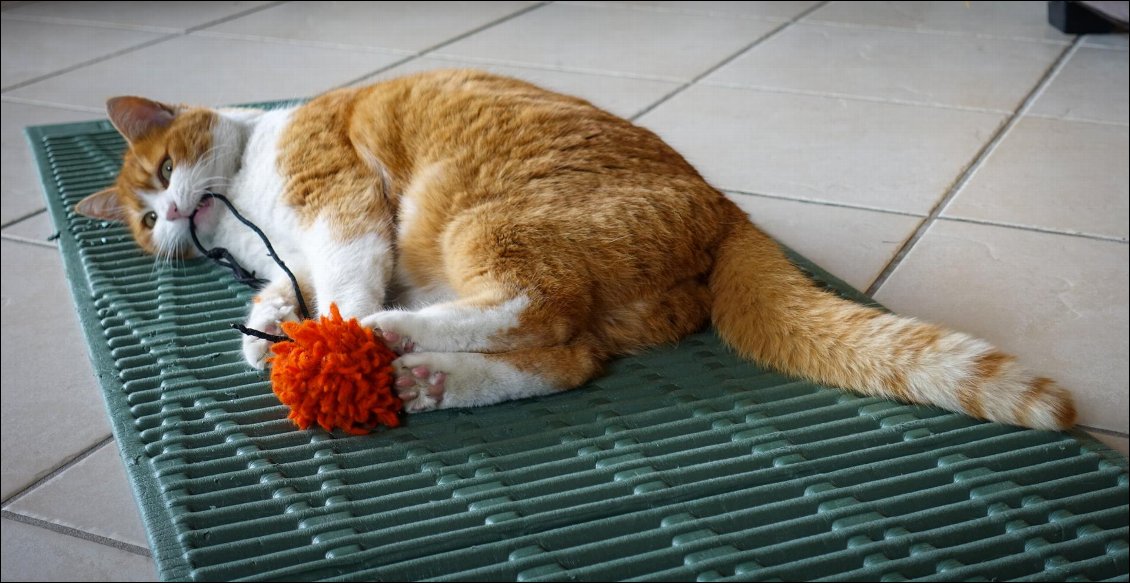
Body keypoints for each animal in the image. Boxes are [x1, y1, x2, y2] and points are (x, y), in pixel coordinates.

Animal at [79, 70, 1075, 429]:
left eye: (161, 170)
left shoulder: (341, 206)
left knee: (536, 310)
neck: (248, 197)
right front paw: (265, 328)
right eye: (143, 221)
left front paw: (332, 341)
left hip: (487, 223)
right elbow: (278, 297)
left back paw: (396, 344)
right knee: (567, 357)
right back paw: (432, 381)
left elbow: (342, 288)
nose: (173, 214)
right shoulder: (286, 255)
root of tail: (724, 207)